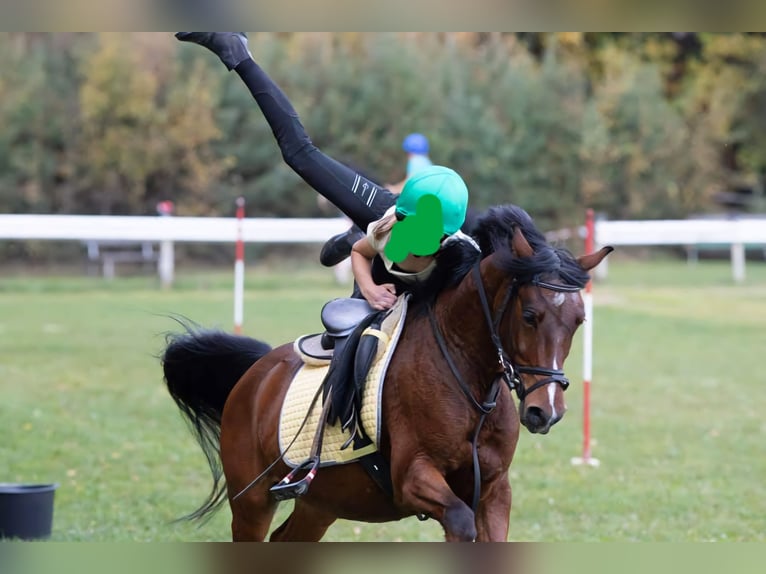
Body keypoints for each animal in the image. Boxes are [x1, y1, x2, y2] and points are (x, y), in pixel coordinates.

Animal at [162, 207, 612, 544]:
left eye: (579, 321)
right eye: (530, 315)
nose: (545, 411)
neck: (470, 381)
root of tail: (254, 376)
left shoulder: (494, 491)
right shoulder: (414, 479)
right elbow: (459, 522)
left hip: (320, 503)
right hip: (252, 502)